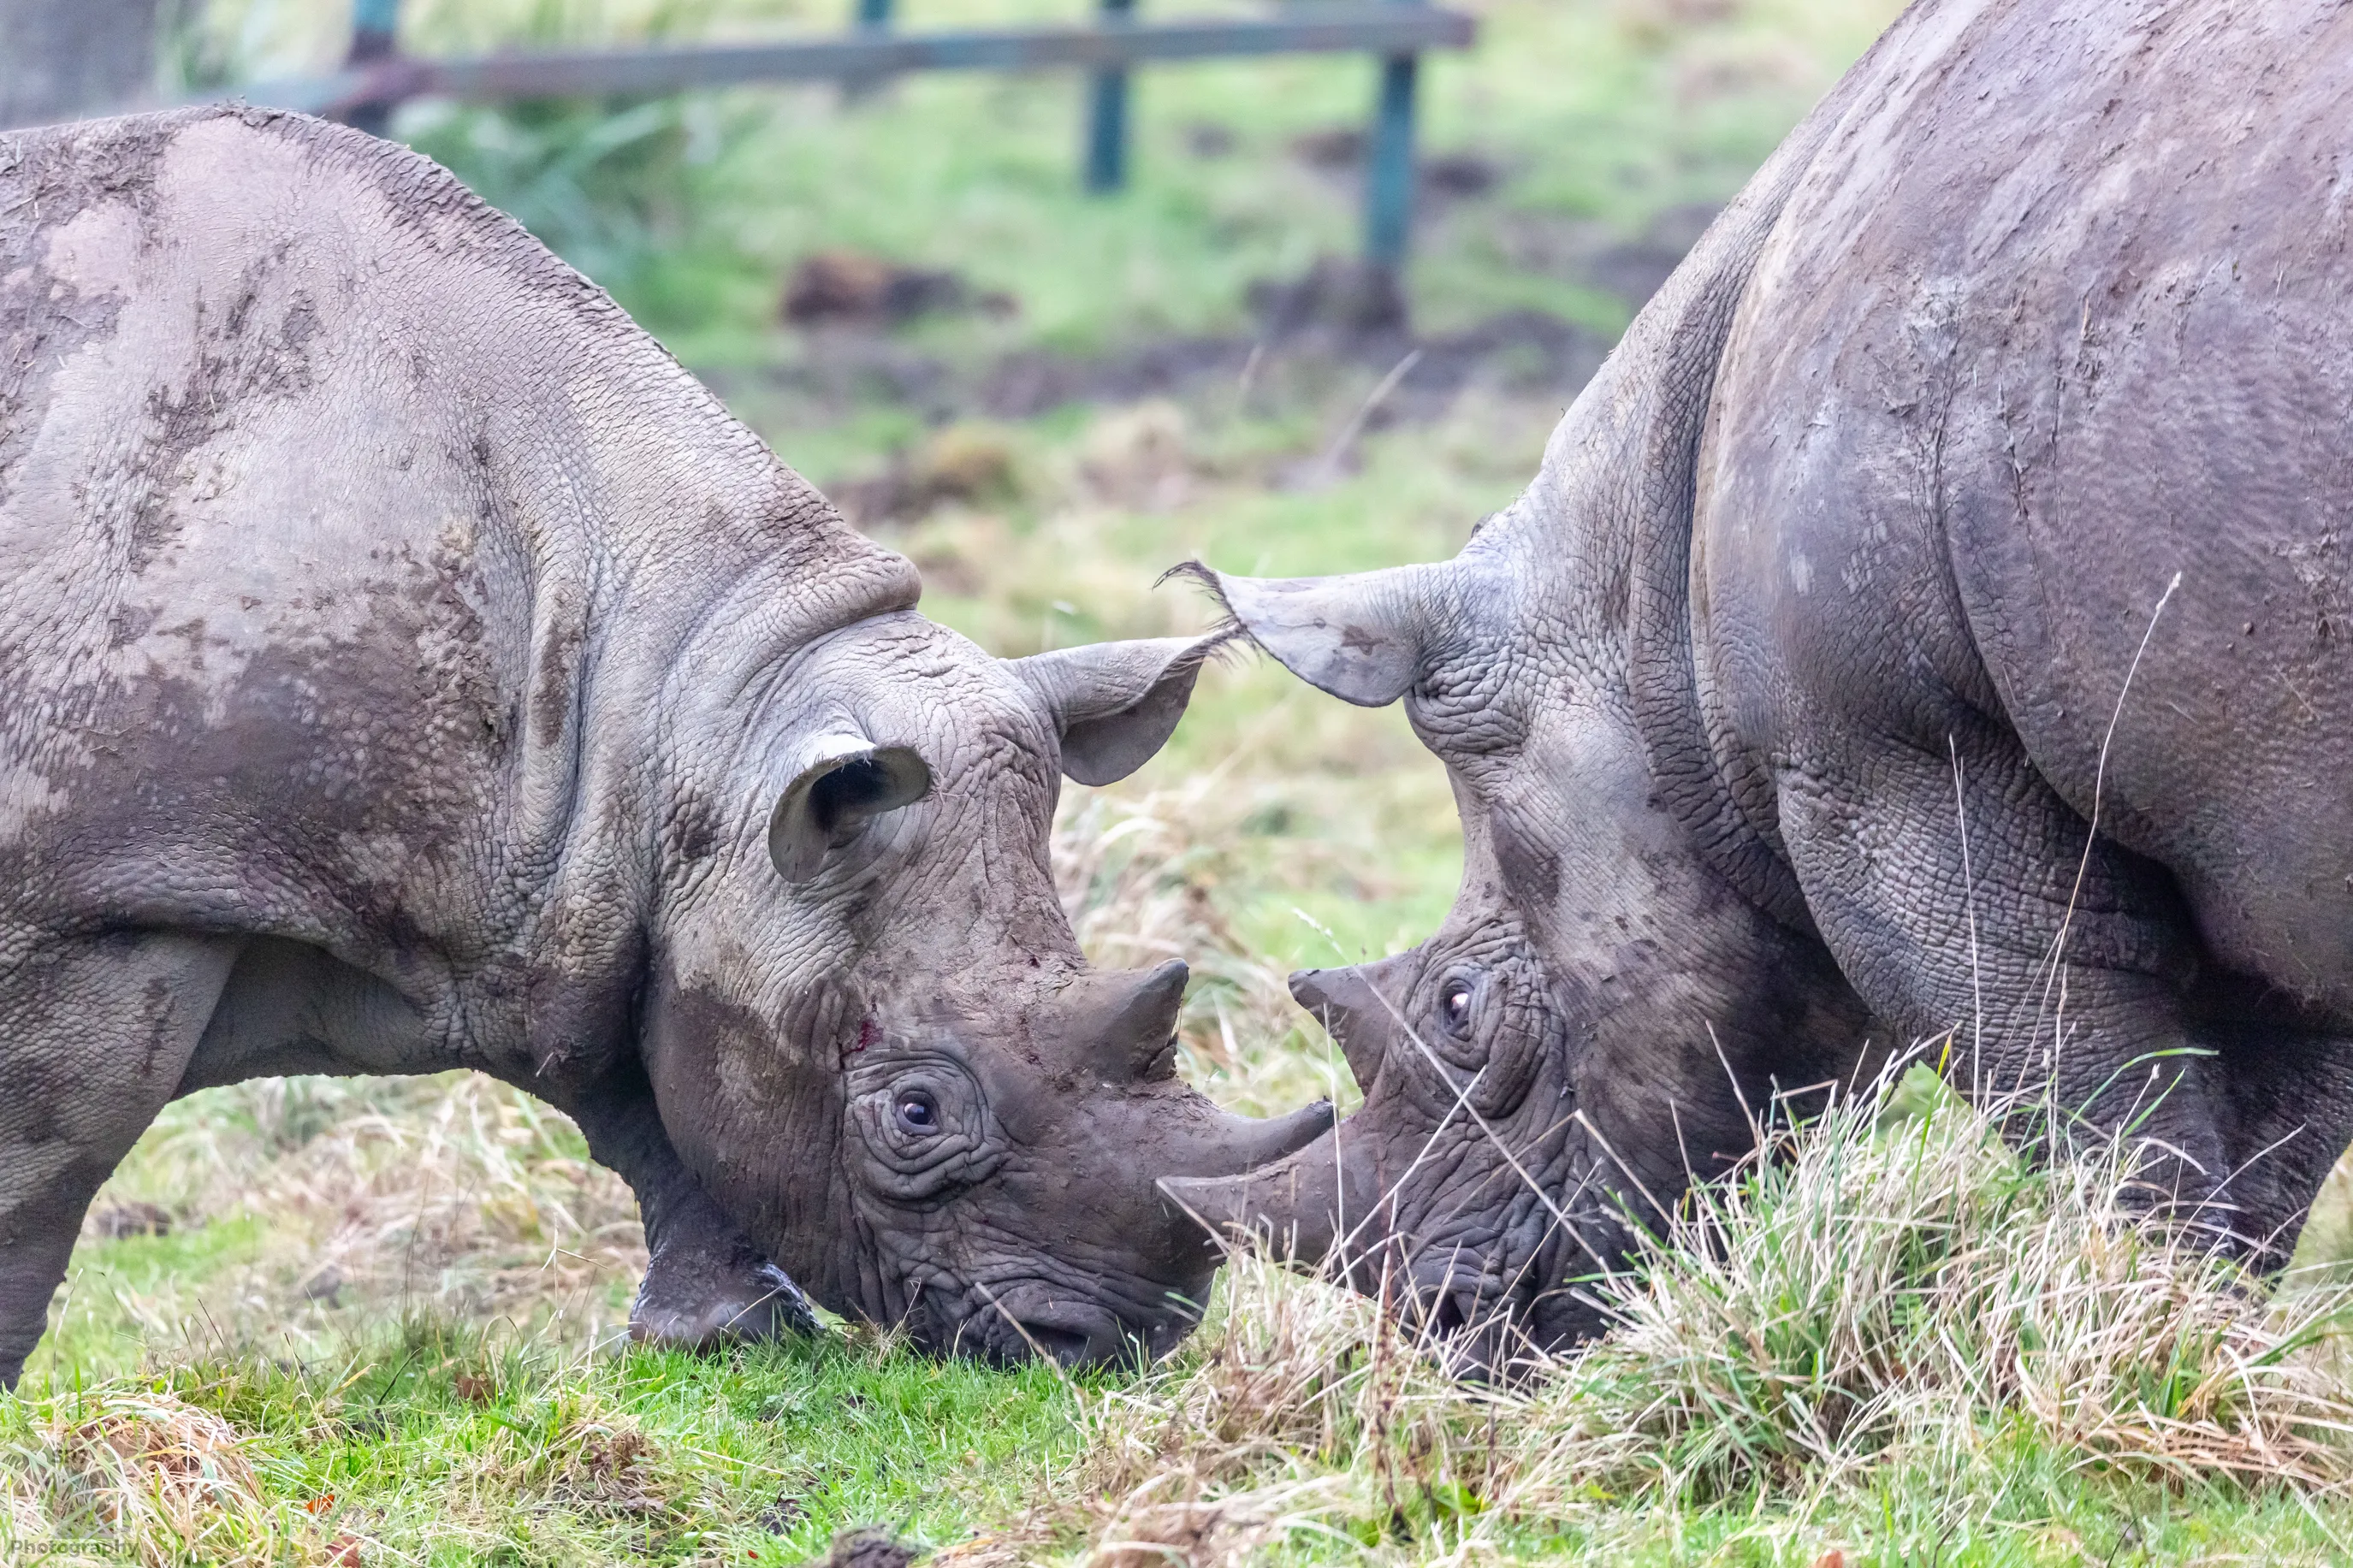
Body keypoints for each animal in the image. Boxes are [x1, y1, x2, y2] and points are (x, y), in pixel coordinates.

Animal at [0, 106, 1331, 1387]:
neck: (687, 686)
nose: (1112, 1344)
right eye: (915, 1112)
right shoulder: (100, 892)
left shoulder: (601, 868)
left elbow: (648, 1083)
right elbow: (40, 1163)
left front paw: (729, 1335)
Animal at [1166, 0, 2353, 1360]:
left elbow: (2097, 1107)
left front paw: (2140, 1334)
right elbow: (2266, 1138)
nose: (1454, 1325)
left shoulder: (1892, 763)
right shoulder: (2260, 835)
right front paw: (2216, 1347)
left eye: (1459, 1011)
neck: (1639, 604)